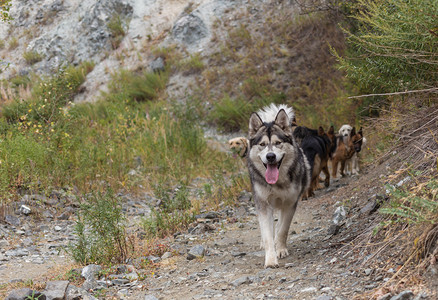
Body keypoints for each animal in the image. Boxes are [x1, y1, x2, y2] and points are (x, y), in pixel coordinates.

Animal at [246, 103, 312, 268]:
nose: (270, 156)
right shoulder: (263, 205)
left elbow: (283, 229)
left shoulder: (290, 204)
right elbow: (267, 235)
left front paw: (280, 249)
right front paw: (270, 259)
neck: (277, 183)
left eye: (278, 143)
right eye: (262, 145)